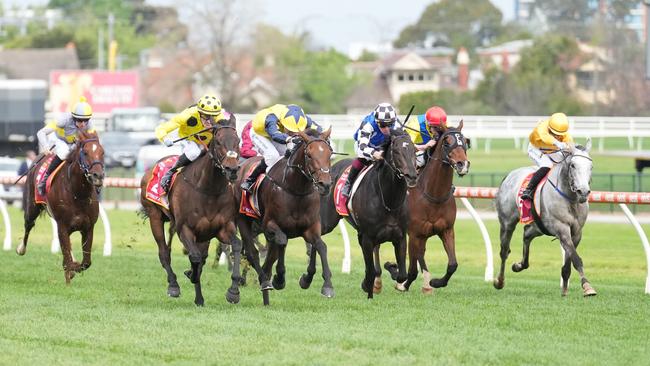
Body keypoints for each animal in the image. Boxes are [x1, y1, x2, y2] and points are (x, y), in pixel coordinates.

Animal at [17, 129, 104, 284]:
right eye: (85, 152)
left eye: (103, 152)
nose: (98, 176)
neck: (77, 193)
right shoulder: (62, 226)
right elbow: (67, 260)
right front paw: (70, 271)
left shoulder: (88, 227)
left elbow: (86, 262)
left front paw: (75, 266)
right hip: (31, 208)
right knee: (28, 225)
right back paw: (21, 248)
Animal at [140, 123, 242, 306]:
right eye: (218, 142)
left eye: (238, 141)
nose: (232, 169)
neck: (209, 190)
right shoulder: (185, 229)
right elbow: (194, 257)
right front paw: (190, 275)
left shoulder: (222, 228)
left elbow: (236, 245)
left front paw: (233, 291)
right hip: (155, 217)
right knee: (164, 252)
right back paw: (173, 285)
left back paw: (199, 298)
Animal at [234, 127, 334, 304]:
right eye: (309, 155)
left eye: (329, 154)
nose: (325, 185)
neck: (296, 190)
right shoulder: (270, 225)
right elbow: (282, 241)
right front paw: (279, 278)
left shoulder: (311, 227)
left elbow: (320, 246)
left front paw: (321, 284)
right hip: (243, 220)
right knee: (253, 254)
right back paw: (264, 283)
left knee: (267, 262)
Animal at [316, 130, 418, 298]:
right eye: (396, 151)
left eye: (414, 150)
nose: (412, 176)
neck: (389, 201)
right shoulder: (368, 238)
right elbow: (372, 271)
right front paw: (369, 285)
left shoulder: (400, 237)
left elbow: (402, 275)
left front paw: (390, 267)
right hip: (327, 222)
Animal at [494, 139, 596, 296]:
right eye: (573, 165)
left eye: (590, 166)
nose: (583, 192)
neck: (570, 199)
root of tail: (509, 175)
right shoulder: (561, 229)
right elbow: (577, 259)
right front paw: (587, 286)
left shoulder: (576, 232)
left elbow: (568, 263)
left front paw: (564, 290)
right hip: (507, 223)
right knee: (504, 251)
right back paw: (499, 281)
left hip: (540, 226)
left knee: (527, 234)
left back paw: (519, 265)